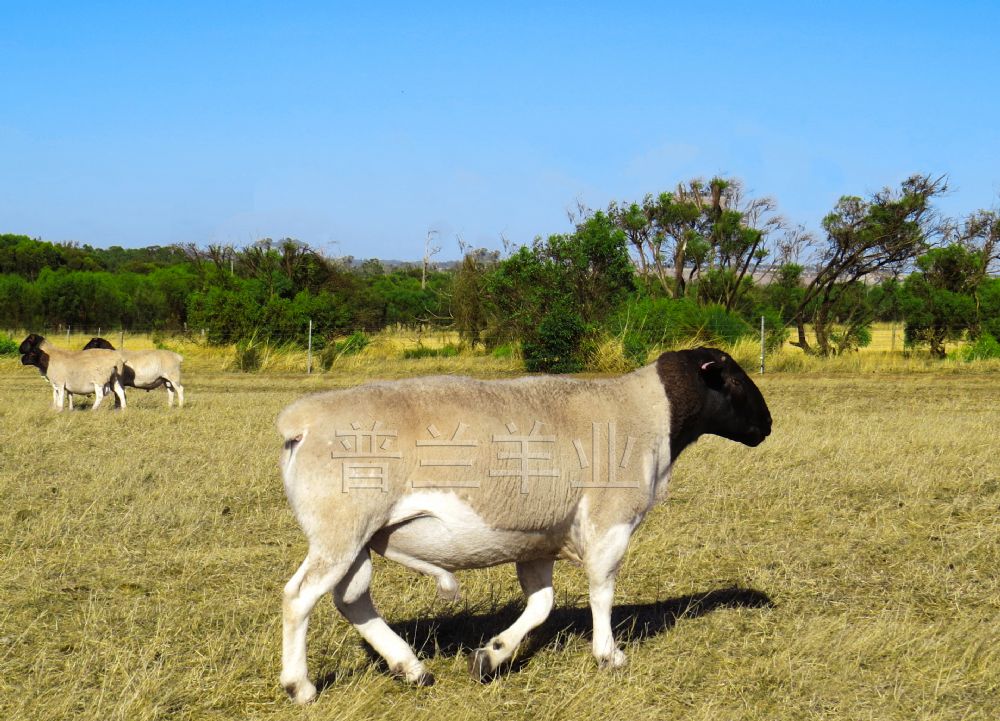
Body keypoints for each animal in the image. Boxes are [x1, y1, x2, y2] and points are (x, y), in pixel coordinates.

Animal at [274, 346, 772, 700]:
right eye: (731, 378)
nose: (767, 425)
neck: (646, 413)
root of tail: (299, 422)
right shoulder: (610, 521)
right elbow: (602, 591)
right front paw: (609, 655)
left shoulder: (536, 540)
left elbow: (541, 605)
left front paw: (492, 657)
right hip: (340, 528)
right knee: (300, 597)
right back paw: (301, 687)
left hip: (356, 536)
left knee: (352, 599)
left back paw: (411, 669)